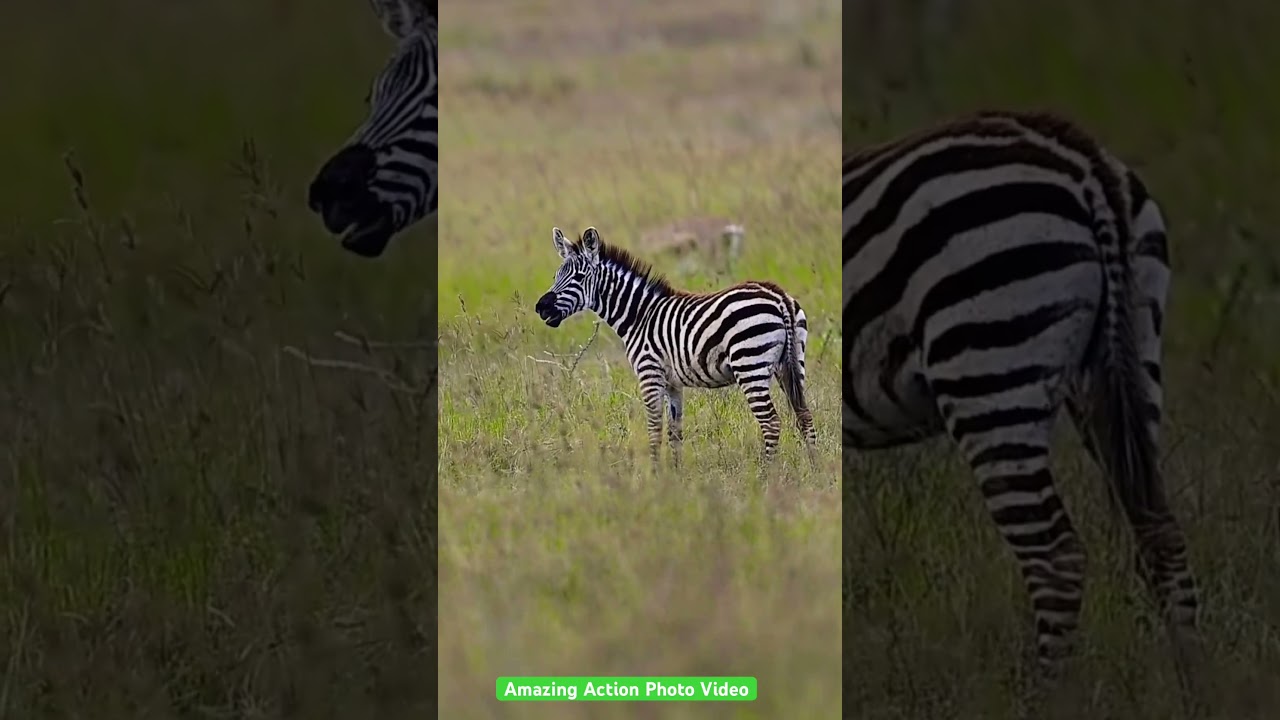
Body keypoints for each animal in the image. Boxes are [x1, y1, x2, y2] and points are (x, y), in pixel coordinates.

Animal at [534, 226, 817, 467]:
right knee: (804, 416)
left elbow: (655, 429)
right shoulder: (673, 383)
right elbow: (675, 432)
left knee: (771, 423)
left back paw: (767, 475)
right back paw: (815, 469)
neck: (640, 316)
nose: (541, 307)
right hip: (791, 363)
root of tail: (778, 296)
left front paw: (656, 475)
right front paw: (675, 476)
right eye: (556, 276)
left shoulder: (650, 374)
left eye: (579, 277)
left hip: (750, 365)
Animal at [843, 111, 1200, 684]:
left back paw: (1047, 692)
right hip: (1128, 360)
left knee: (1055, 557)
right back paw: (1197, 685)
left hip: (987, 367)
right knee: (1161, 534)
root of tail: (1086, 165)